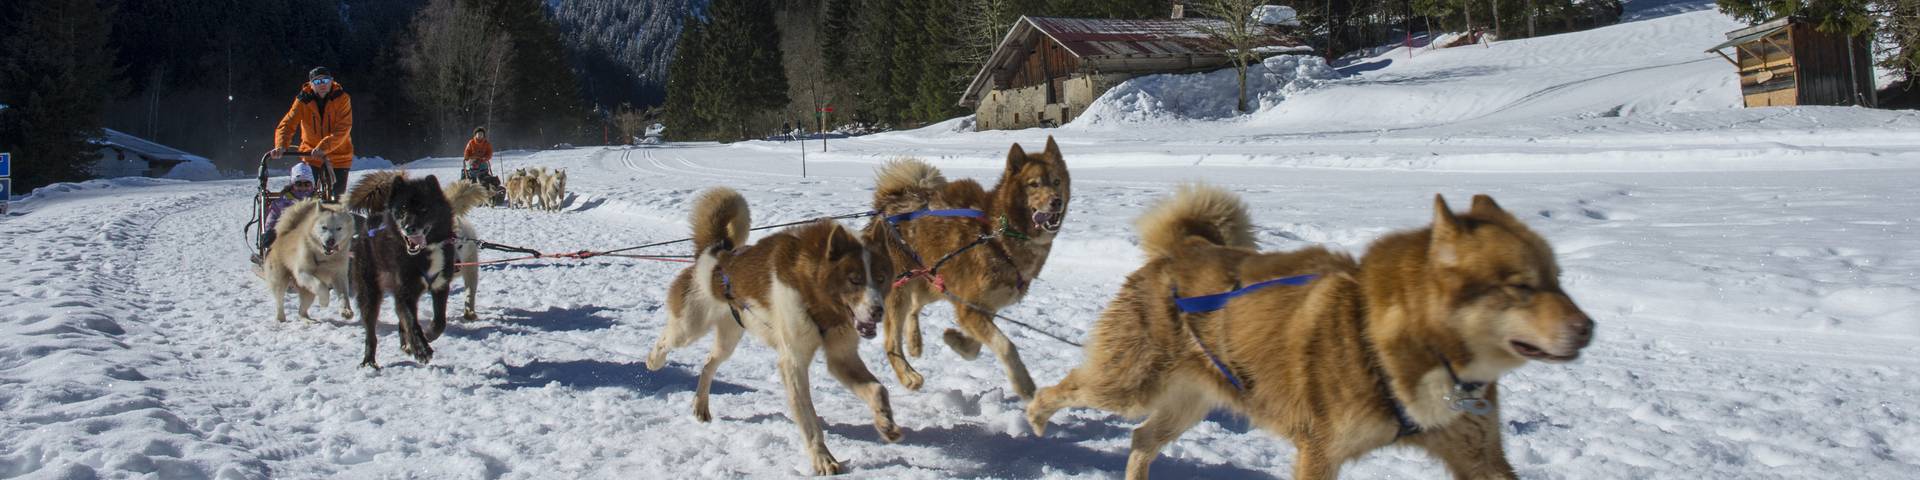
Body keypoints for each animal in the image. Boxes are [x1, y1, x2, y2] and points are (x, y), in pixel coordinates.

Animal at [648, 187, 902, 476]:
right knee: (667, 340)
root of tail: (715, 255)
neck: (815, 294)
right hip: (689, 327)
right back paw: (654, 360)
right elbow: (810, 422)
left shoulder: (842, 357)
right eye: (855, 279)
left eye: (881, 278)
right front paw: (822, 458)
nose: (878, 311)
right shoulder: (793, 362)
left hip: (728, 339)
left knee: (709, 363)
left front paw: (886, 423)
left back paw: (701, 405)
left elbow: (878, 390)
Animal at [867, 137, 1075, 399]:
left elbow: (976, 346)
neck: (999, 235)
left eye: (1057, 181)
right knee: (891, 340)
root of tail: (891, 203)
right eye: (1033, 184)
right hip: (900, 289)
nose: (1056, 201)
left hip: (933, 281)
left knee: (914, 307)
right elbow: (1005, 345)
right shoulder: (970, 308)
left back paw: (915, 343)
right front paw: (1024, 384)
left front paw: (955, 340)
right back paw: (908, 376)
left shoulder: (981, 307)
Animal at [1029, 184, 1597, 480]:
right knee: (1062, 390)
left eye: (1558, 278)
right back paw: (1032, 417)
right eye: (1521, 286)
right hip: (1130, 385)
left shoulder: (1479, 454)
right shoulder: (1320, 451)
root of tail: (1187, 248)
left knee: (1142, 438)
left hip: (1189, 401)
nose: (1588, 328)